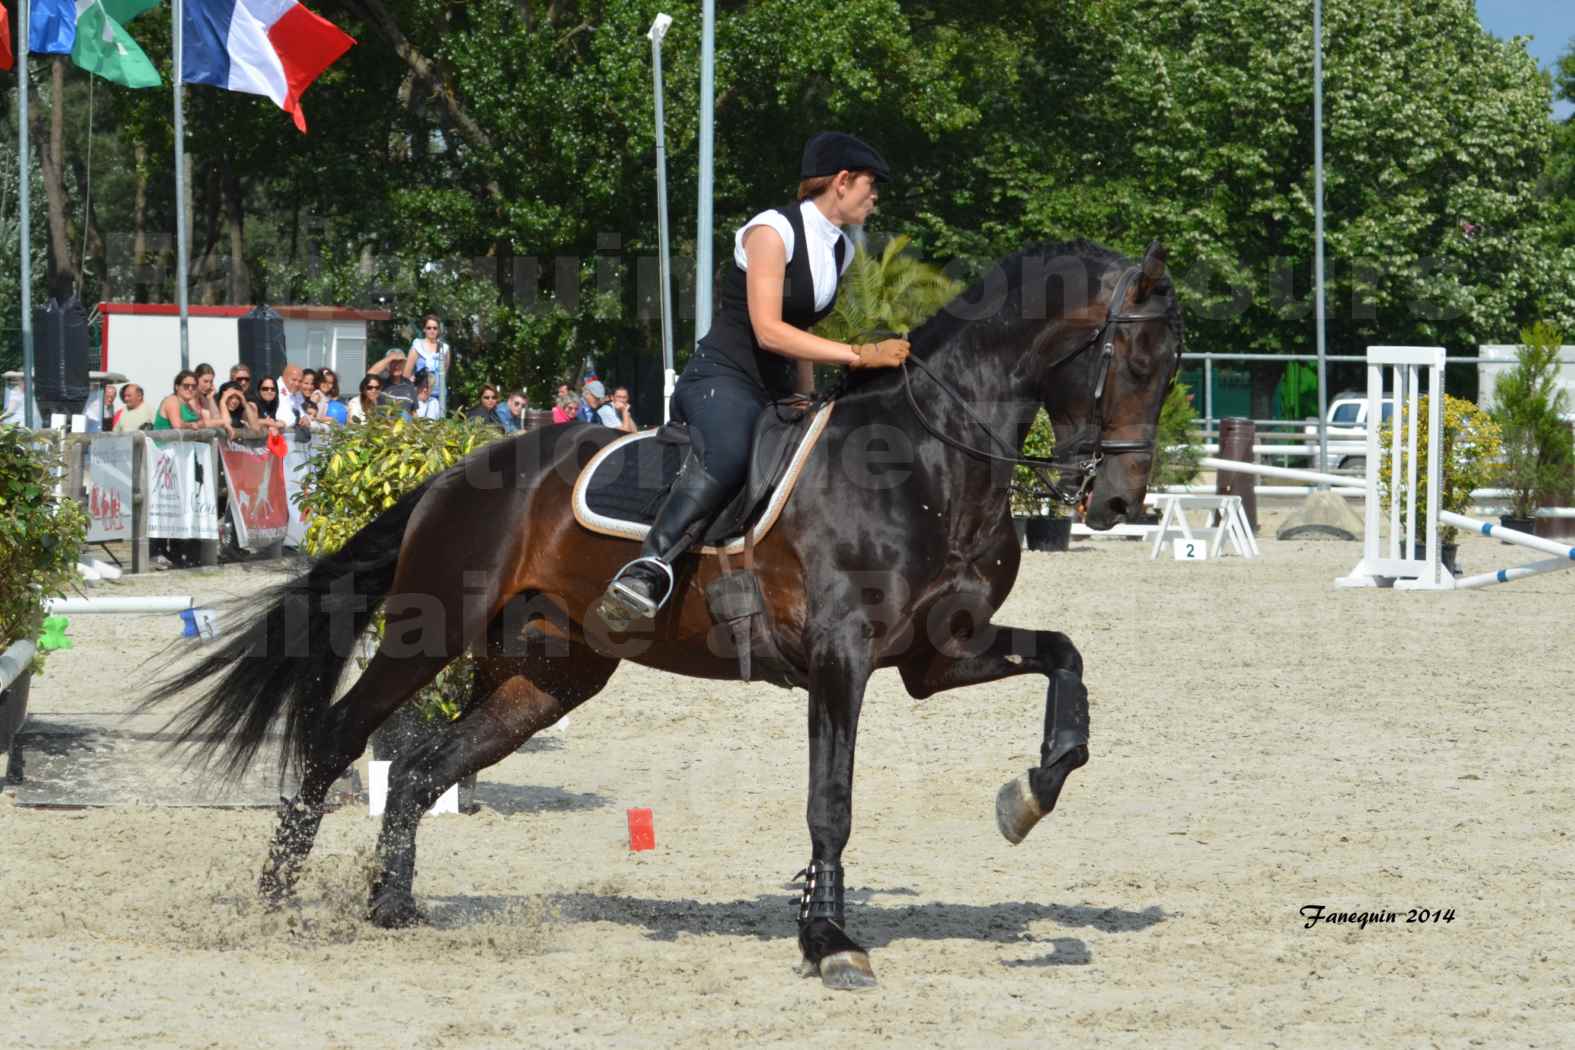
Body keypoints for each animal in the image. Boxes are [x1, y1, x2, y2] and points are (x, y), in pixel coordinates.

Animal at [150, 236, 1184, 988]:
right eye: (1133, 358)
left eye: (1173, 367)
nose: (1117, 502)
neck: (931, 462)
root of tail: (454, 470)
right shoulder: (842, 659)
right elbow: (832, 802)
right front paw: (830, 941)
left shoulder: (937, 655)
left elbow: (1066, 661)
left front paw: (1028, 795)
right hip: (428, 629)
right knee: (338, 736)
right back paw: (276, 900)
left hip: (548, 673)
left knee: (420, 767)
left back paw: (392, 906)